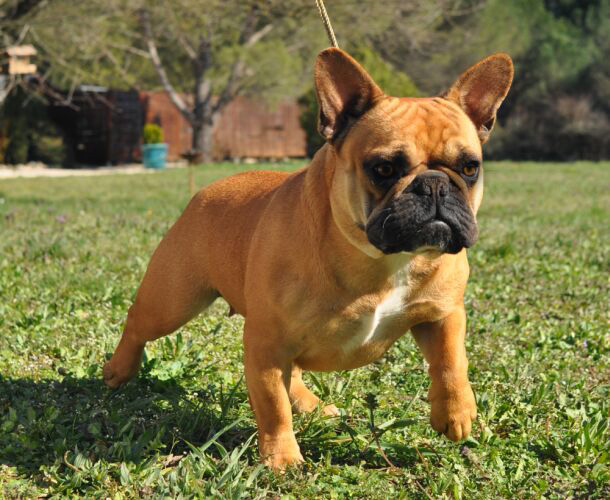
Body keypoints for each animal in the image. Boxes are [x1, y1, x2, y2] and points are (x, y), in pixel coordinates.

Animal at [103, 48, 513, 469]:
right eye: (383, 168)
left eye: (470, 167)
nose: (434, 185)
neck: (383, 260)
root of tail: (205, 192)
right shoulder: (267, 344)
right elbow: (272, 406)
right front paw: (282, 457)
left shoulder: (443, 313)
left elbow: (452, 362)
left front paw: (456, 414)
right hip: (175, 300)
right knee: (138, 324)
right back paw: (118, 370)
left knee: (293, 374)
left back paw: (311, 404)